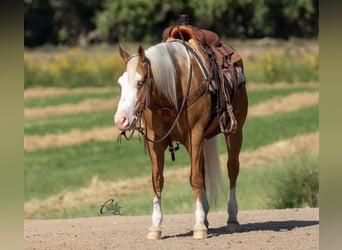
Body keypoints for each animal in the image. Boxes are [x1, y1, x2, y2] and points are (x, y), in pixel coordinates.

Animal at [113, 40, 247, 239]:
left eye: (139, 82)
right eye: (120, 83)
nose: (121, 120)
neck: (172, 93)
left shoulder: (195, 135)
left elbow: (196, 178)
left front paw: (199, 226)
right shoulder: (155, 142)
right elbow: (157, 180)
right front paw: (155, 227)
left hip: (235, 133)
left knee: (232, 169)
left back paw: (231, 218)